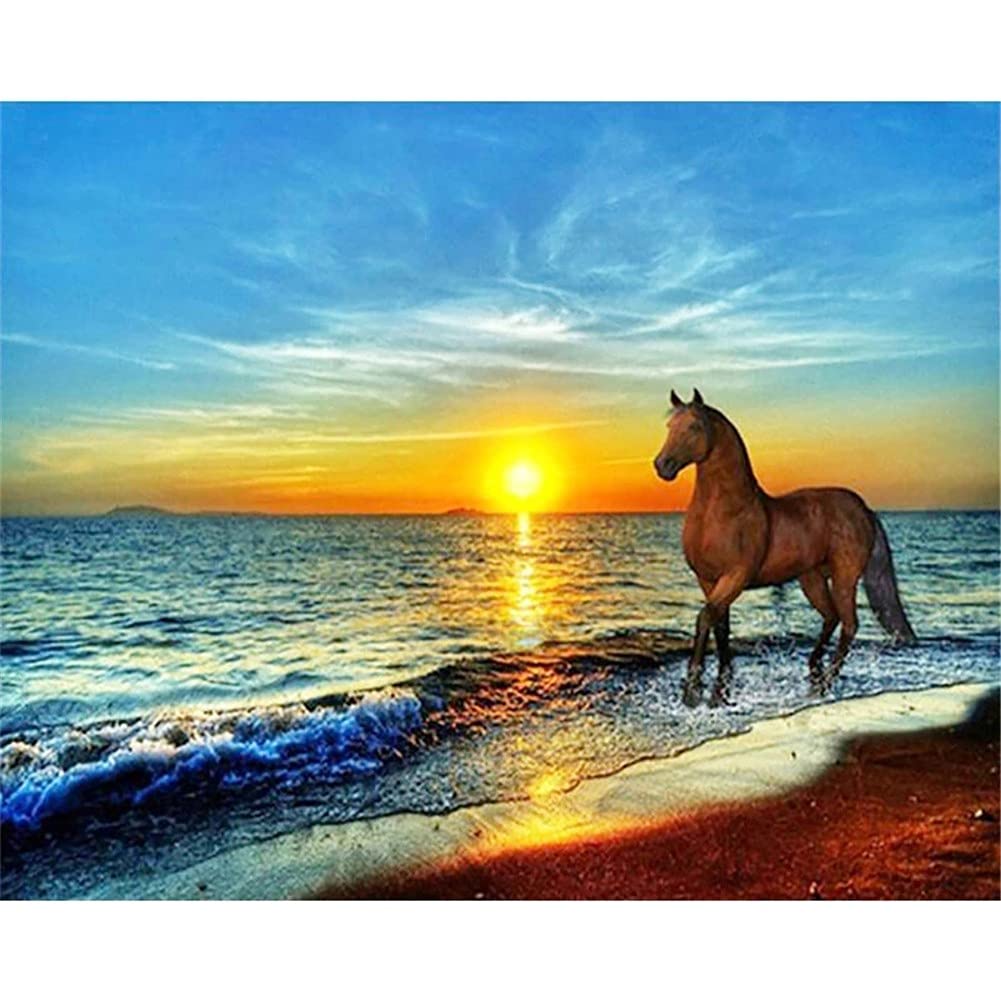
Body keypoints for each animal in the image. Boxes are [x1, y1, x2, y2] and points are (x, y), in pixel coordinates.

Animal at [653, 388, 915, 707]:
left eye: (694, 427)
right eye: (669, 427)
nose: (662, 465)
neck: (722, 511)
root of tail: (863, 508)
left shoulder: (735, 577)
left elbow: (705, 619)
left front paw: (692, 692)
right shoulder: (708, 580)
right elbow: (720, 626)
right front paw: (721, 685)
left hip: (845, 577)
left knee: (849, 624)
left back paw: (827, 680)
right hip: (811, 578)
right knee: (831, 617)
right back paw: (813, 668)